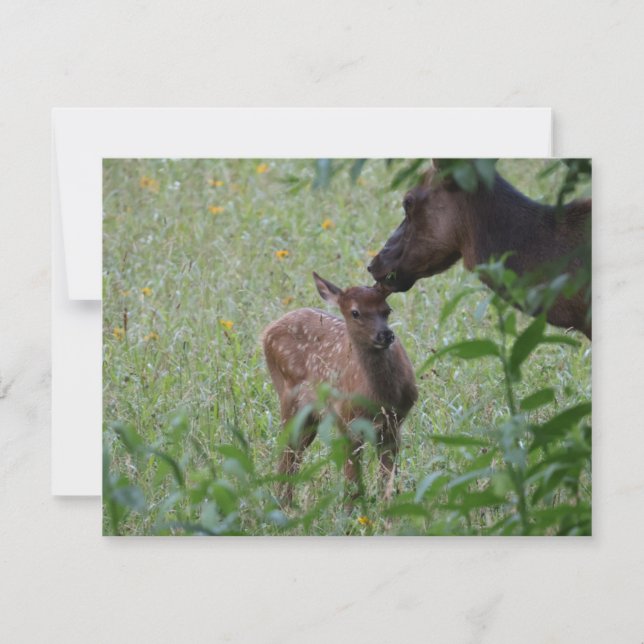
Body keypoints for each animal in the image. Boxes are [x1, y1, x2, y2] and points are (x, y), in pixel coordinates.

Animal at [262, 272, 418, 505]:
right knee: (286, 453)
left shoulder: (394, 425)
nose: (386, 335)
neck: (383, 397)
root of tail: (267, 331)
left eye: (387, 310)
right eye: (355, 312)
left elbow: (387, 482)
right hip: (288, 397)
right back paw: (282, 504)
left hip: (311, 417)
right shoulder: (348, 421)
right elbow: (353, 485)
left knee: (294, 454)